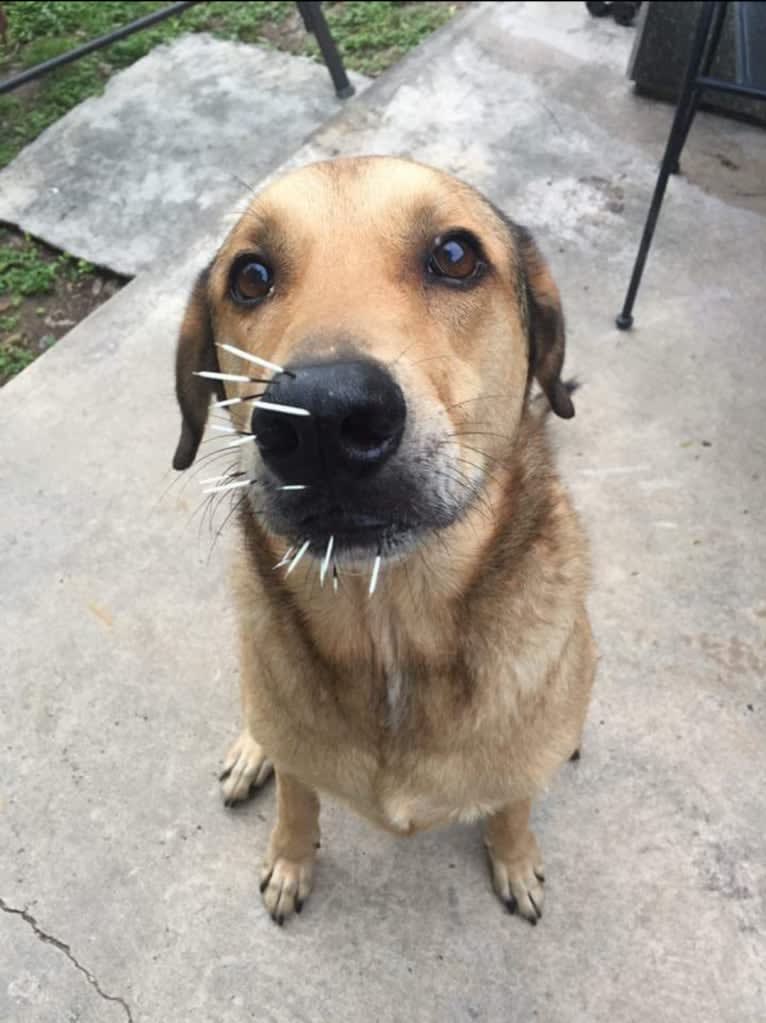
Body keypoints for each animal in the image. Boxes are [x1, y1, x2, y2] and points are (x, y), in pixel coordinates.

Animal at [172, 153, 597, 928]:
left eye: (455, 255)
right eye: (250, 275)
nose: (321, 417)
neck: (390, 623)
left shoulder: (523, 759)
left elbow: (514, 804)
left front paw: (515, 856)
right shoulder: (296, 750)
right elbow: (297, 801)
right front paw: (290, 859)